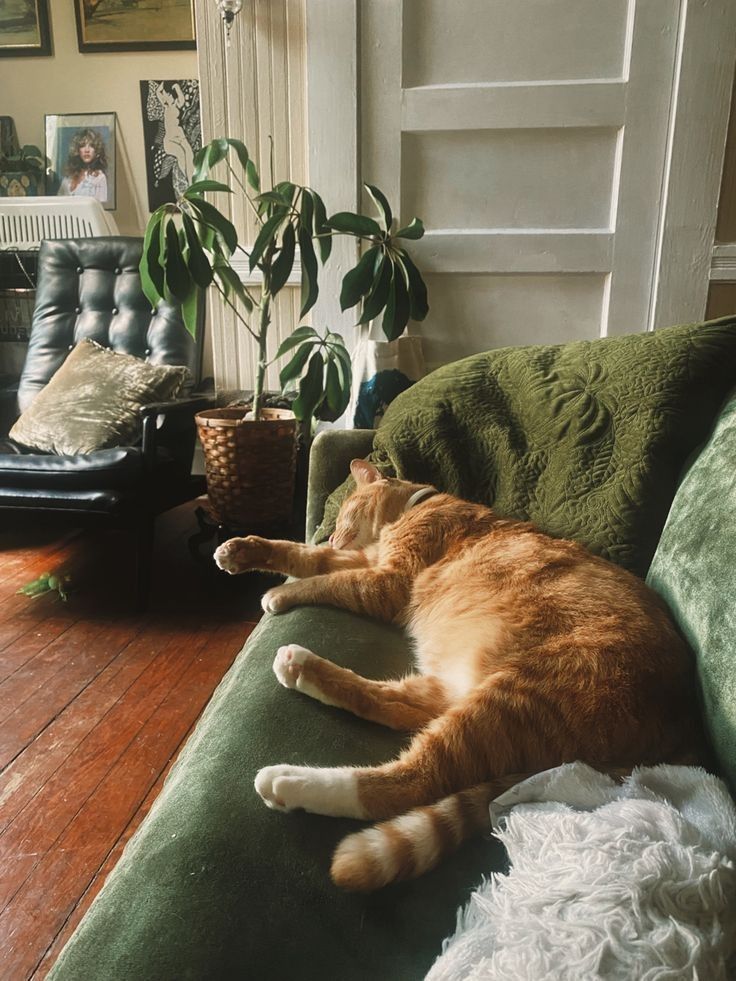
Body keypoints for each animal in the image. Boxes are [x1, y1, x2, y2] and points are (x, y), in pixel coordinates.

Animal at [214, 458, 708, 888]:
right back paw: (299, 667)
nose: (333, 535)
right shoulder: (367, 564)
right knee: (393, 706)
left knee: (409, 782)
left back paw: (289, 780)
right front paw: (243, 550)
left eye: (346, 508)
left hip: (517, 696)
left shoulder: (384, 581)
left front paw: (279, 593)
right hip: (467, 692)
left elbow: (323, 578)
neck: (417, 508)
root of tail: (682, 737)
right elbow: (304, 556)